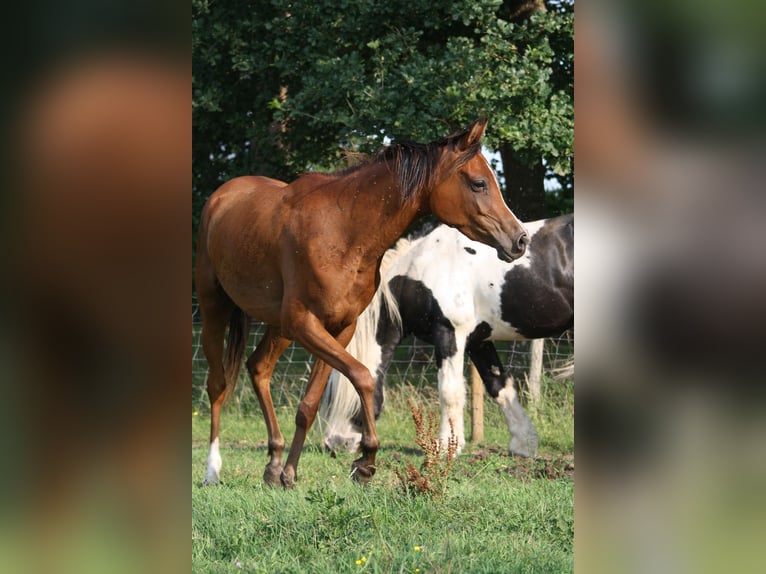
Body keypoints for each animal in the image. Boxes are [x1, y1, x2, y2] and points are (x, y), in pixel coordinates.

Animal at [195, 118, 529, 487]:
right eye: (479, 183)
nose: (520, 240)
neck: (343, 231)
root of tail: (221, 197)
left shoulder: (339, 328)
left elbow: (309, 405)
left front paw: (290, 473)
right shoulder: (306, 324)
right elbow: (363, 377)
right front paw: (366, 461)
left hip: (278, 326)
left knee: (258, 369)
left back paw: (273, 463)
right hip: (215, 310)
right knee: (218, 384)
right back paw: (212, 470)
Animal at [320, 214, 573, 458]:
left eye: (339, 396)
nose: (335, 445)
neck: (422, 270)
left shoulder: (449, 332)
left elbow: (449, 390)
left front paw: (445, 446)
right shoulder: (478, 342)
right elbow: (499, 386)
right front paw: (524, 444)